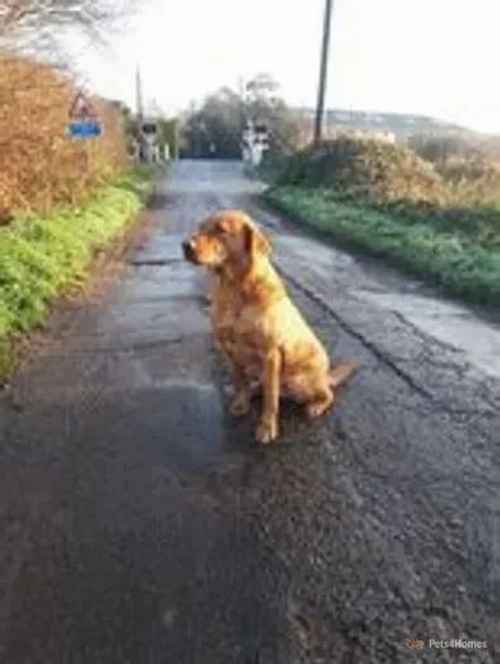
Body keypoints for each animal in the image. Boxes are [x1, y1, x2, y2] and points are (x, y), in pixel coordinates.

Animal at [184, 210, 360, 444]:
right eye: (200, 227)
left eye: (221, 230)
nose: (185, 245)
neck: (235, 288)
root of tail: (325, 377)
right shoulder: (230, 350)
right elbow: (240, 381)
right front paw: (241, 402)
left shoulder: (270, 354)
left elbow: (270, 399)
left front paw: (267, 428)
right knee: (260, 387)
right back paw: (252, 392)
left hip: (302, 380)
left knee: (326, 395)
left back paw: (316, 406)